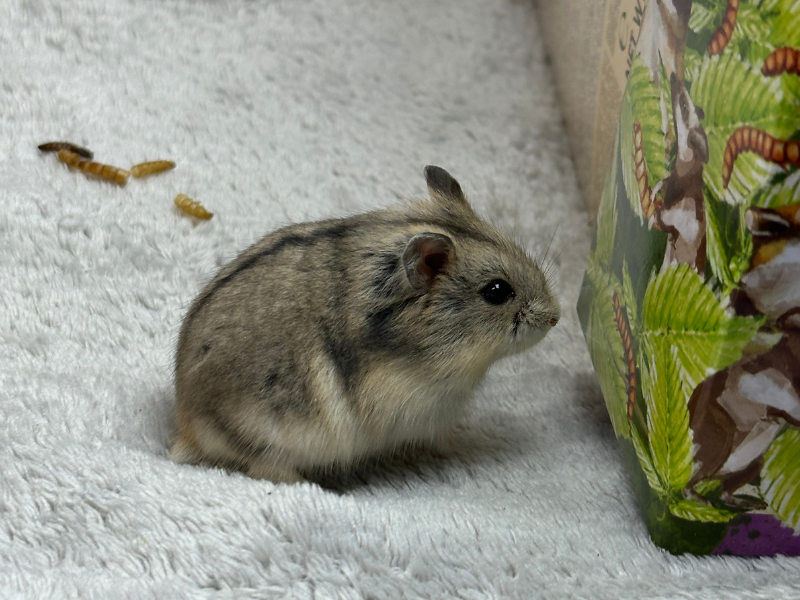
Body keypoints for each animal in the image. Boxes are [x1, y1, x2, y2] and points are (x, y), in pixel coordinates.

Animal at [170, 166, 561, 483]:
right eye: (497, 291)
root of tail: (186, 426)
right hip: (269, 439)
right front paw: (461, 446)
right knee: (266, 468)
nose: (555, 316)